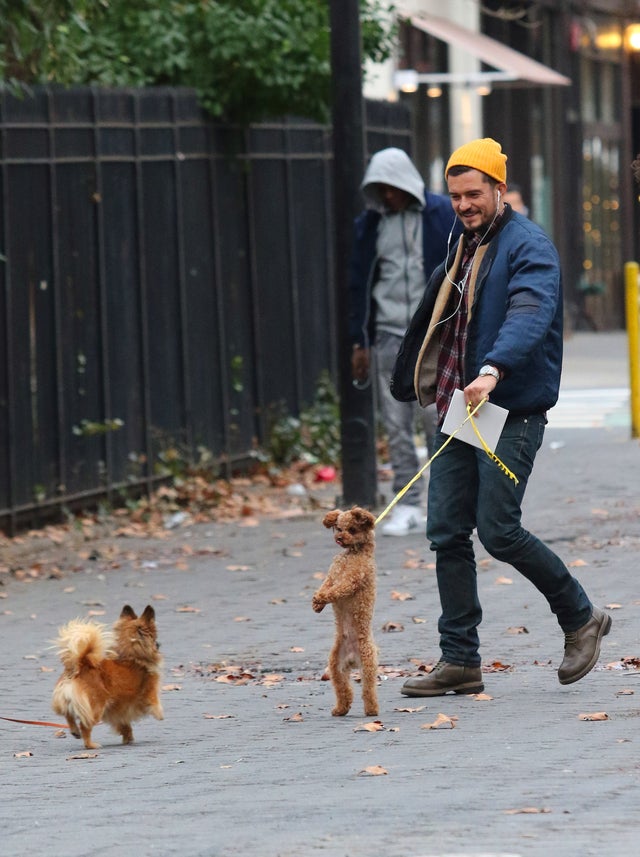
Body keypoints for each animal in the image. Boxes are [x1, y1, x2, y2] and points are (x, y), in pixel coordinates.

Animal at [51, 600, 164, 748]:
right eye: (154, 637)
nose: (159, 644)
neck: (128, 655)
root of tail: (82, 664)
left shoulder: (119, 710)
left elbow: (124, 724)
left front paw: (128, 737)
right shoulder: (150, 691)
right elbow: (155, 703)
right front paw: (160, 715)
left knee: (68, 714)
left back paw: (75, 731)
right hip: (96, 708)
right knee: (85, 725)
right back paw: (90, 744)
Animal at [312, 508, 378, 716]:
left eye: (352, 529)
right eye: (339, 528)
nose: (340, 538)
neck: (352, 553)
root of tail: (352, 658)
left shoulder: (351, 580)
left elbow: (335, 590)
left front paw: (322, 598)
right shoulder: (332, 576)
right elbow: (326, 585)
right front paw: (317, 603)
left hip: (367, 662)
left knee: (368, 689)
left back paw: (372, 710)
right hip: (336, 666)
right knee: (343, 689)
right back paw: (340, 709)